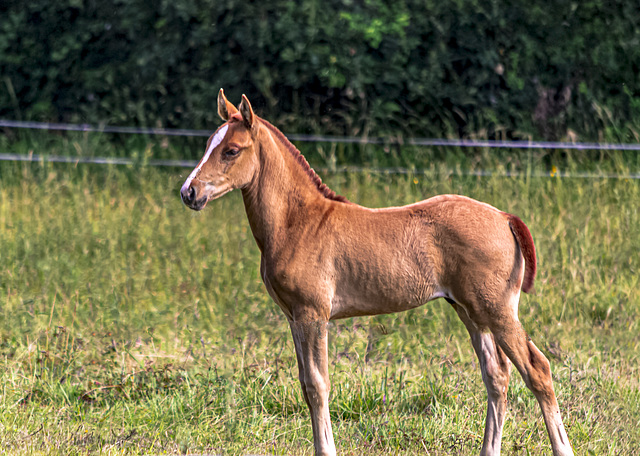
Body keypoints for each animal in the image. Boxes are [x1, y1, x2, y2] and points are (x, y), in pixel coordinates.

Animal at [180, 90, 576, 456]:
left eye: (232, 150)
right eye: (208, 143)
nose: (189, 192)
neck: (298, 222)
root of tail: (505, 217)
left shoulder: (313, 314)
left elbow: (318, 386)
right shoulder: (293, 316)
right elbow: (305, 385)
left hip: (497, 310)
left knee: (537, 370)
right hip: (470, 311)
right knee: (497, 377)